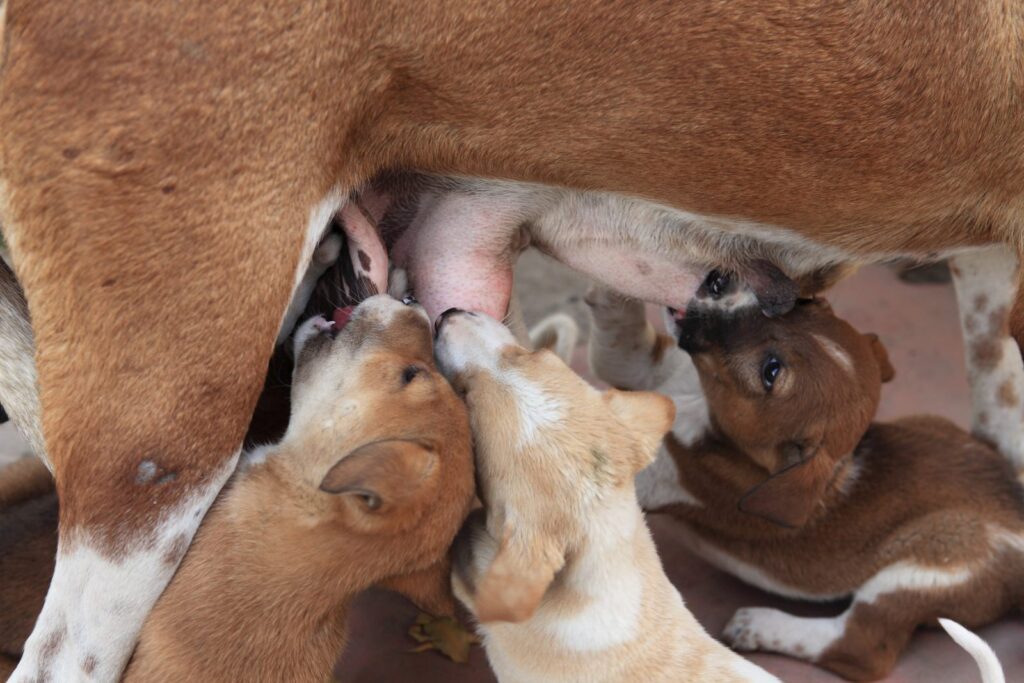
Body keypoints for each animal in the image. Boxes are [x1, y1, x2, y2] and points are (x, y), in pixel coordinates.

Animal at [585, 290, 1015, 683]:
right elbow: (621, 345)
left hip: (929, 565)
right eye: (809, 305)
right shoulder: (650, 367)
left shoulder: (668, 478)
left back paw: (757, 626)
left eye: (771, 371)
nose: (717, 280)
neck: (701, 404)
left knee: (859, 648)